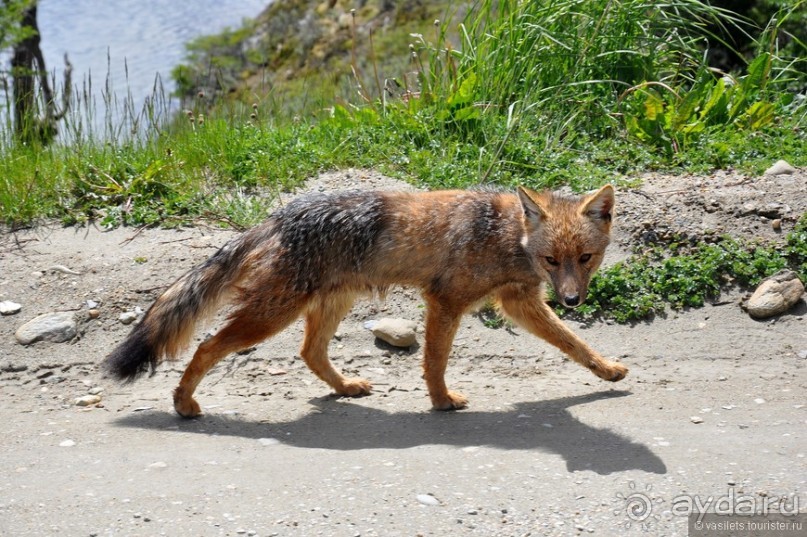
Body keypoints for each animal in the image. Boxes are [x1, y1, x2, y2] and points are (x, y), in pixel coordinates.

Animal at [104, 185, 628, 418]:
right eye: (551, 259)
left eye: (584, 258)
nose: (573, 299)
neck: (505, 236)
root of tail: (279, 216)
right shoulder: (446, 301)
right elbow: (435, 361)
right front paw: (441, 401)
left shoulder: (521, 303)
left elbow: (574, 344)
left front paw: (607, 371)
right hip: (271, 316)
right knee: (207, 346)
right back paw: (183, 402)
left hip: (330, 306)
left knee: (309, 353)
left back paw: (345, 388)